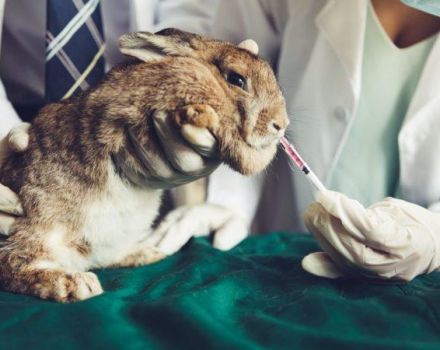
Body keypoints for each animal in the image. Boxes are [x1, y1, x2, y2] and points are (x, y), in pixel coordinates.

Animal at [0, 28, 288, 302]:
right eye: (236, 79)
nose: (281, 124)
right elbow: (228, 133)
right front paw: (246, 146)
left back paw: (147, 252)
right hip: (39, 226)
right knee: (13, 264)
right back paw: (77, 284)